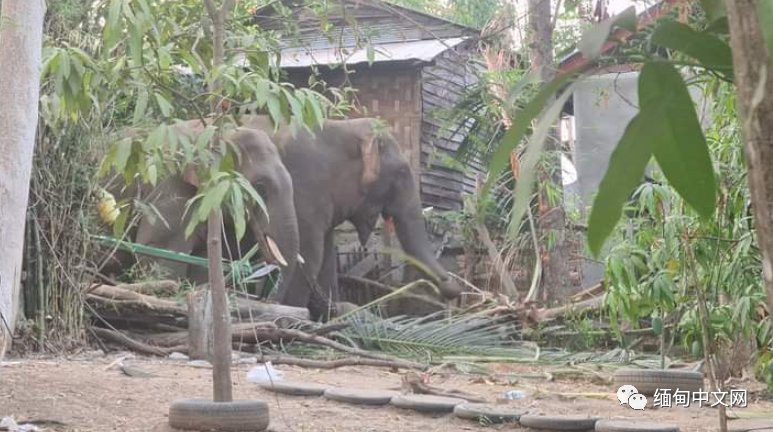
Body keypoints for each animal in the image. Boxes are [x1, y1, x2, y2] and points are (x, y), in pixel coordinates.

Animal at [237, 114, 464, 318]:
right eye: (401, 171)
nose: (451, 284)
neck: (345, 126)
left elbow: (326, 258)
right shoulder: (304, 189)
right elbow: (310, 255)